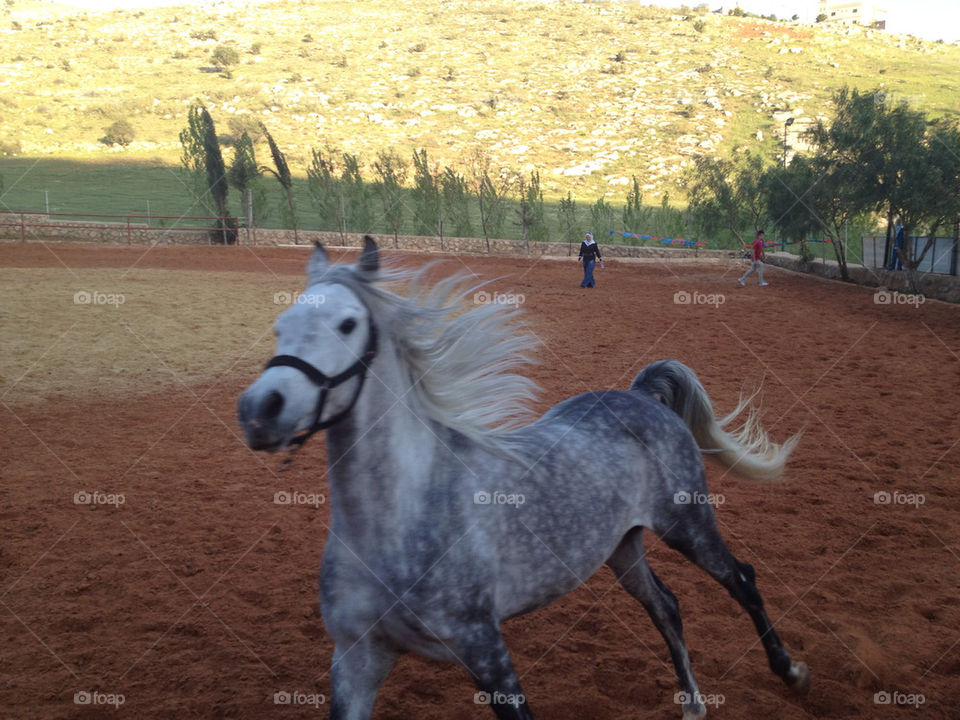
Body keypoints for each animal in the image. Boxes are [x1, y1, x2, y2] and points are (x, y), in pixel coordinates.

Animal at [237, 236, 809, 720]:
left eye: (348, 324)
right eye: (280, 324)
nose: (259, 410)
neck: (399, 522)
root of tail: (642, 395)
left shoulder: (485, 649)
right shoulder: (357, 658)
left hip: (687, 523)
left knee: (742, 580)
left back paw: (790, 671)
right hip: (622, 546)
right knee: (666, 607)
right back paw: (692, 703)